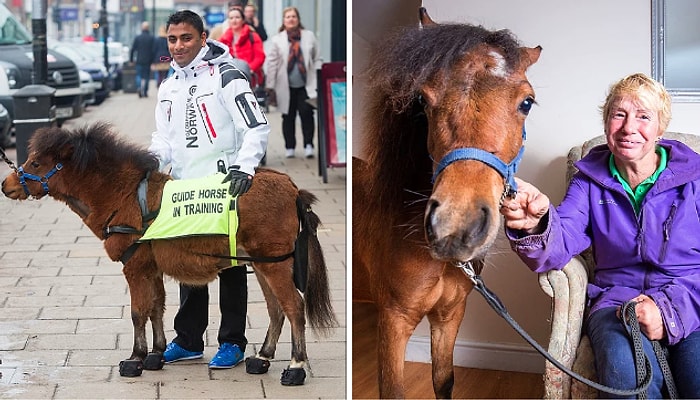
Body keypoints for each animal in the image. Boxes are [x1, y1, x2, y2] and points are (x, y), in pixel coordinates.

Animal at [0, 122, 340, 384]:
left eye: (36, 164)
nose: (7, 184)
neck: (126, 195)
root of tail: (292, 188)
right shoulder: (150, 268)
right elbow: (156, 309)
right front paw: (157, 353)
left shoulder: (135, 267)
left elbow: (138, 312)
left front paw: (135, 358)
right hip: (261, 264)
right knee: (275, 309)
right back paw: (263, 357)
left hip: (274, 266)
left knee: (293, 307)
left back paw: (296, 367)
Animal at [356, 7, 540, 400]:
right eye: (423, 101)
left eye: (527, 102)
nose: (456, 227)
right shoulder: (392, 321)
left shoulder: (449, 315)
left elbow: (443, 381)